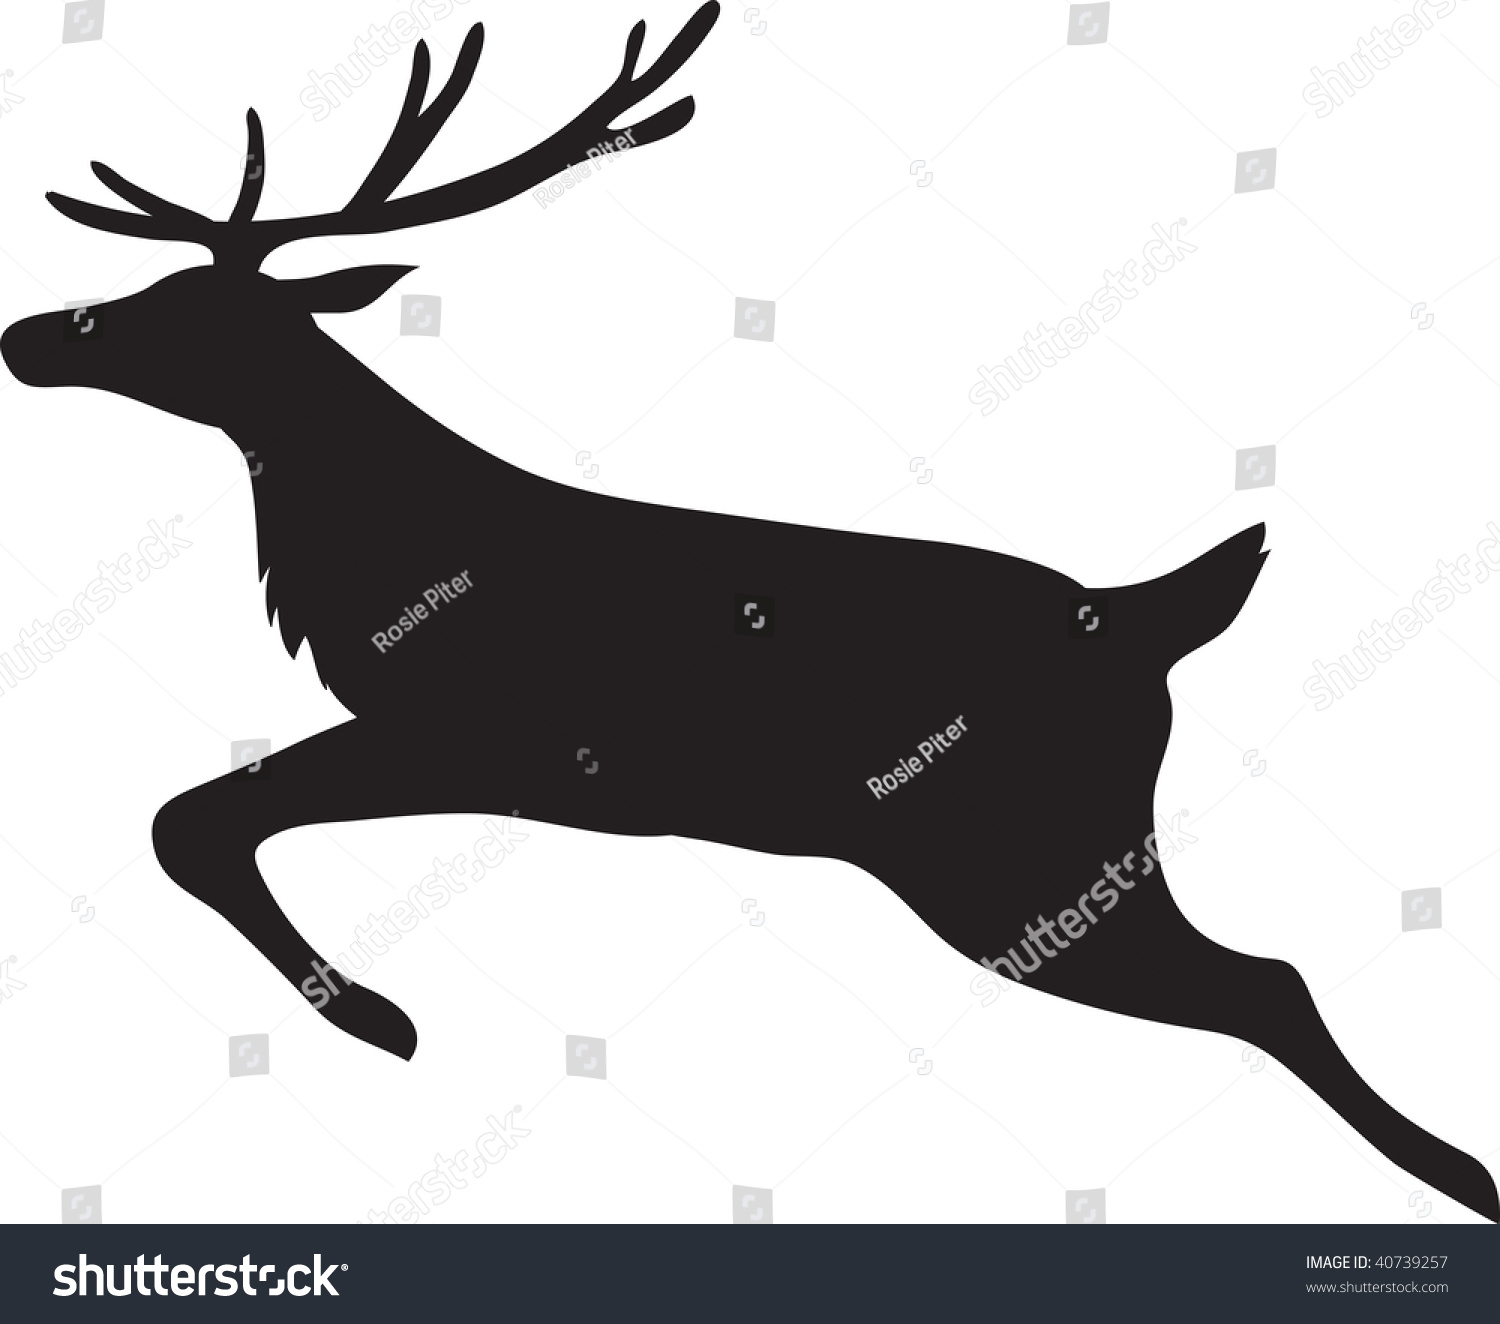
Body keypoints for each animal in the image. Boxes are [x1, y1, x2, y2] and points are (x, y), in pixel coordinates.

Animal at [2, 1, 1494, 1223]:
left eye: (184, 309)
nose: (28, 334)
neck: (373, 553)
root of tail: (1153, 616)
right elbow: (198, 819)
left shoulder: (479, 735)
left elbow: (190, 822)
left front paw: (382, 1020)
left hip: (1027, 866)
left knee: (1268, 981)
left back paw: (1455, 1174)